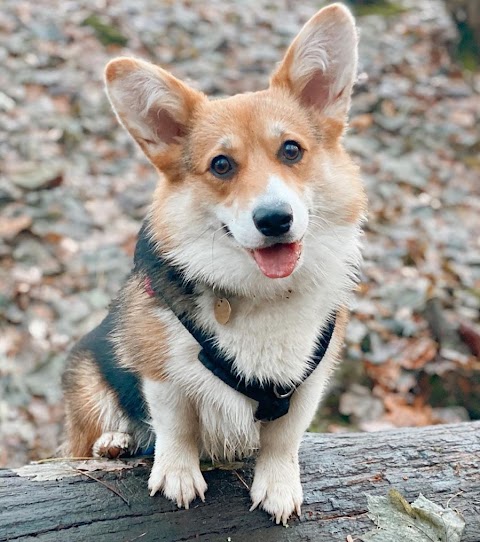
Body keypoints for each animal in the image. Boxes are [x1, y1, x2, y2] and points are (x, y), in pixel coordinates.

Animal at [62, 3, 366, 528]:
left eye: (291, 150)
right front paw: (178, 475)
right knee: (85, 439)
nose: (274, 219)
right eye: (221, 164)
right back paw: (113, 441)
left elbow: (284, 438)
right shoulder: (161, 372)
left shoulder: (310, 382)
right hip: (89, 380)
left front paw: (278, 485)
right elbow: (176, 425)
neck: (266, 293)